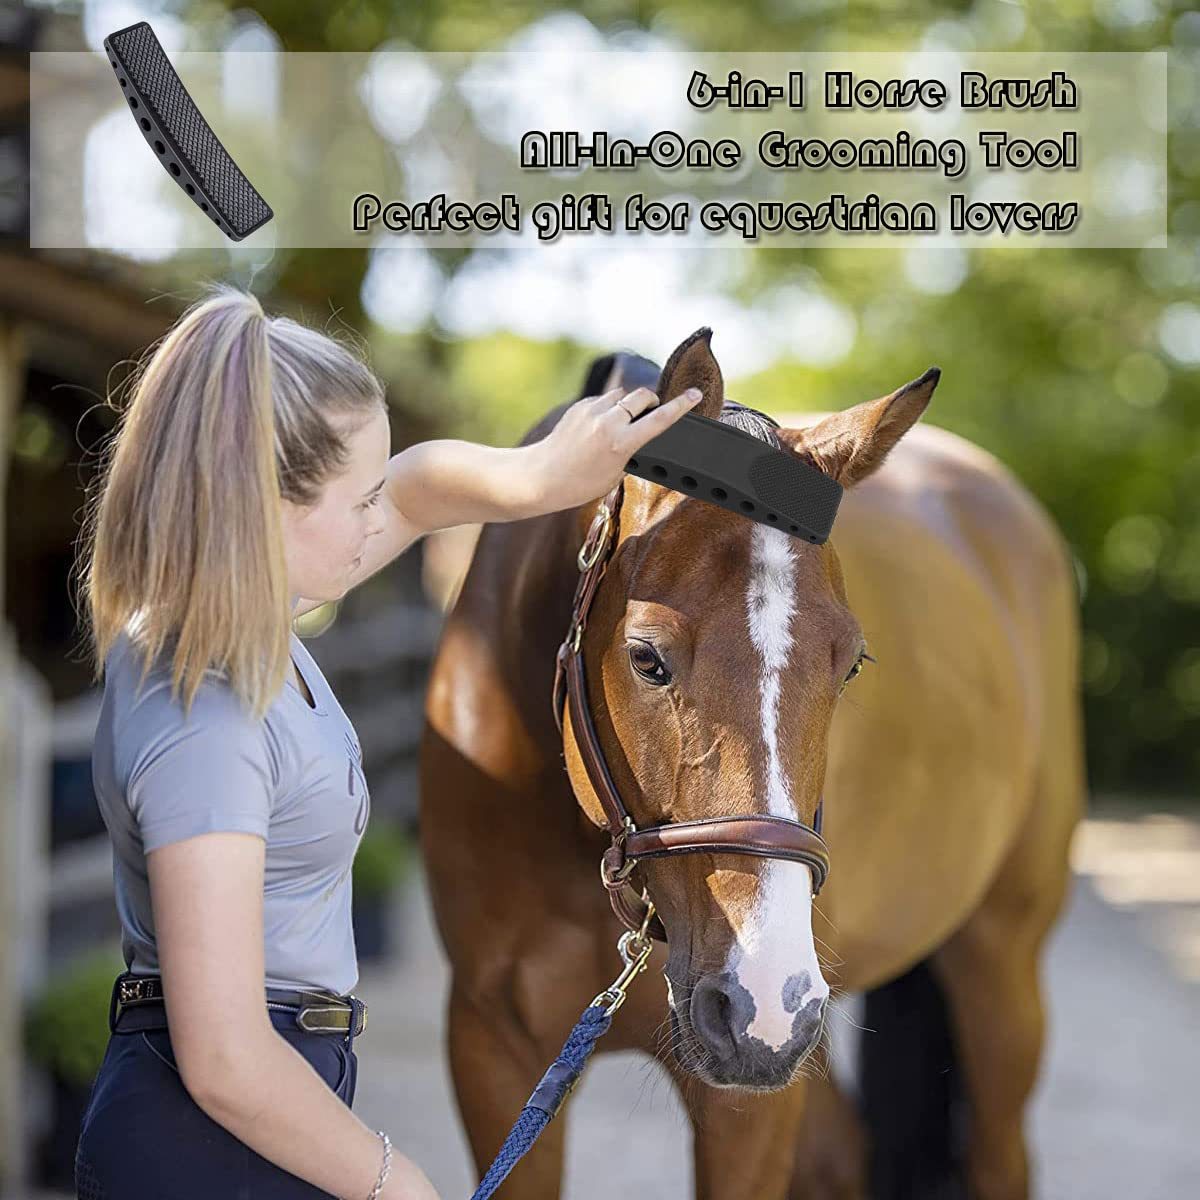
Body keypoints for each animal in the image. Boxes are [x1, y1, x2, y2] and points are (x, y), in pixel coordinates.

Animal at [419, 328, 1085, 1200]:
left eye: (852, 665)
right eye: (646, 657)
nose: (764, 999)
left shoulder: (747, 1095)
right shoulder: (495, 1047)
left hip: (993, 966)